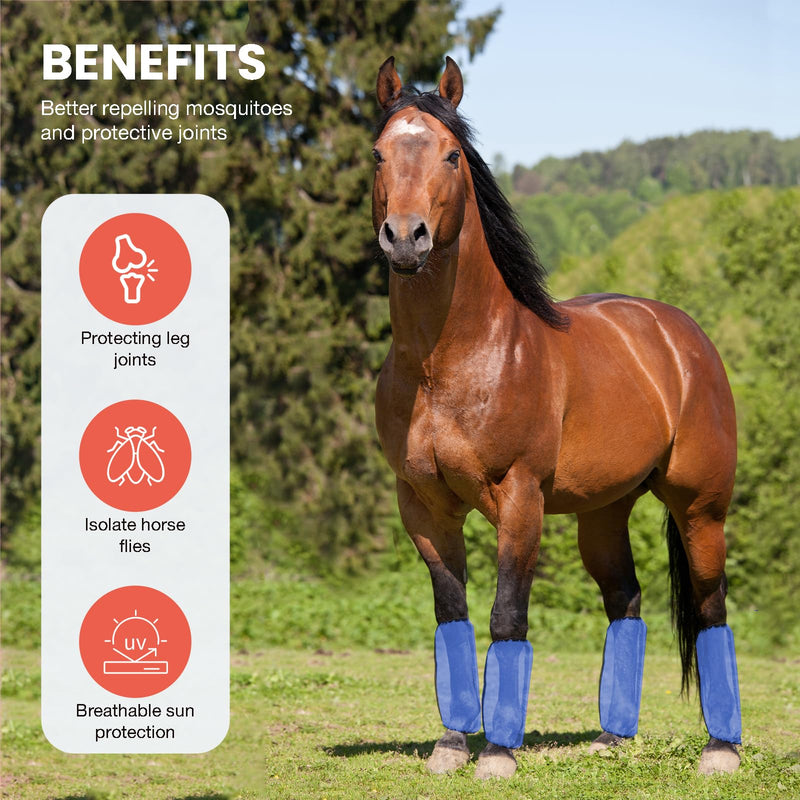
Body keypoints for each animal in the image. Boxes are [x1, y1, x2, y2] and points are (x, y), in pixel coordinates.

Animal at [371, 56, 742, 779]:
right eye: (376, 154)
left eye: (452, 154)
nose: (405, 238)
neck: (449, 362)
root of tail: (681, 335)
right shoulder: (423, 506)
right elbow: (451, 615)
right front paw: (452, 745)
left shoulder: (520, 498)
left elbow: (506, 616)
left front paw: (497, 756)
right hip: (604, 513)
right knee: (625, 600)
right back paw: (612, 738)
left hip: (700, 508)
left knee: (711, 605)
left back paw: (721, 750)